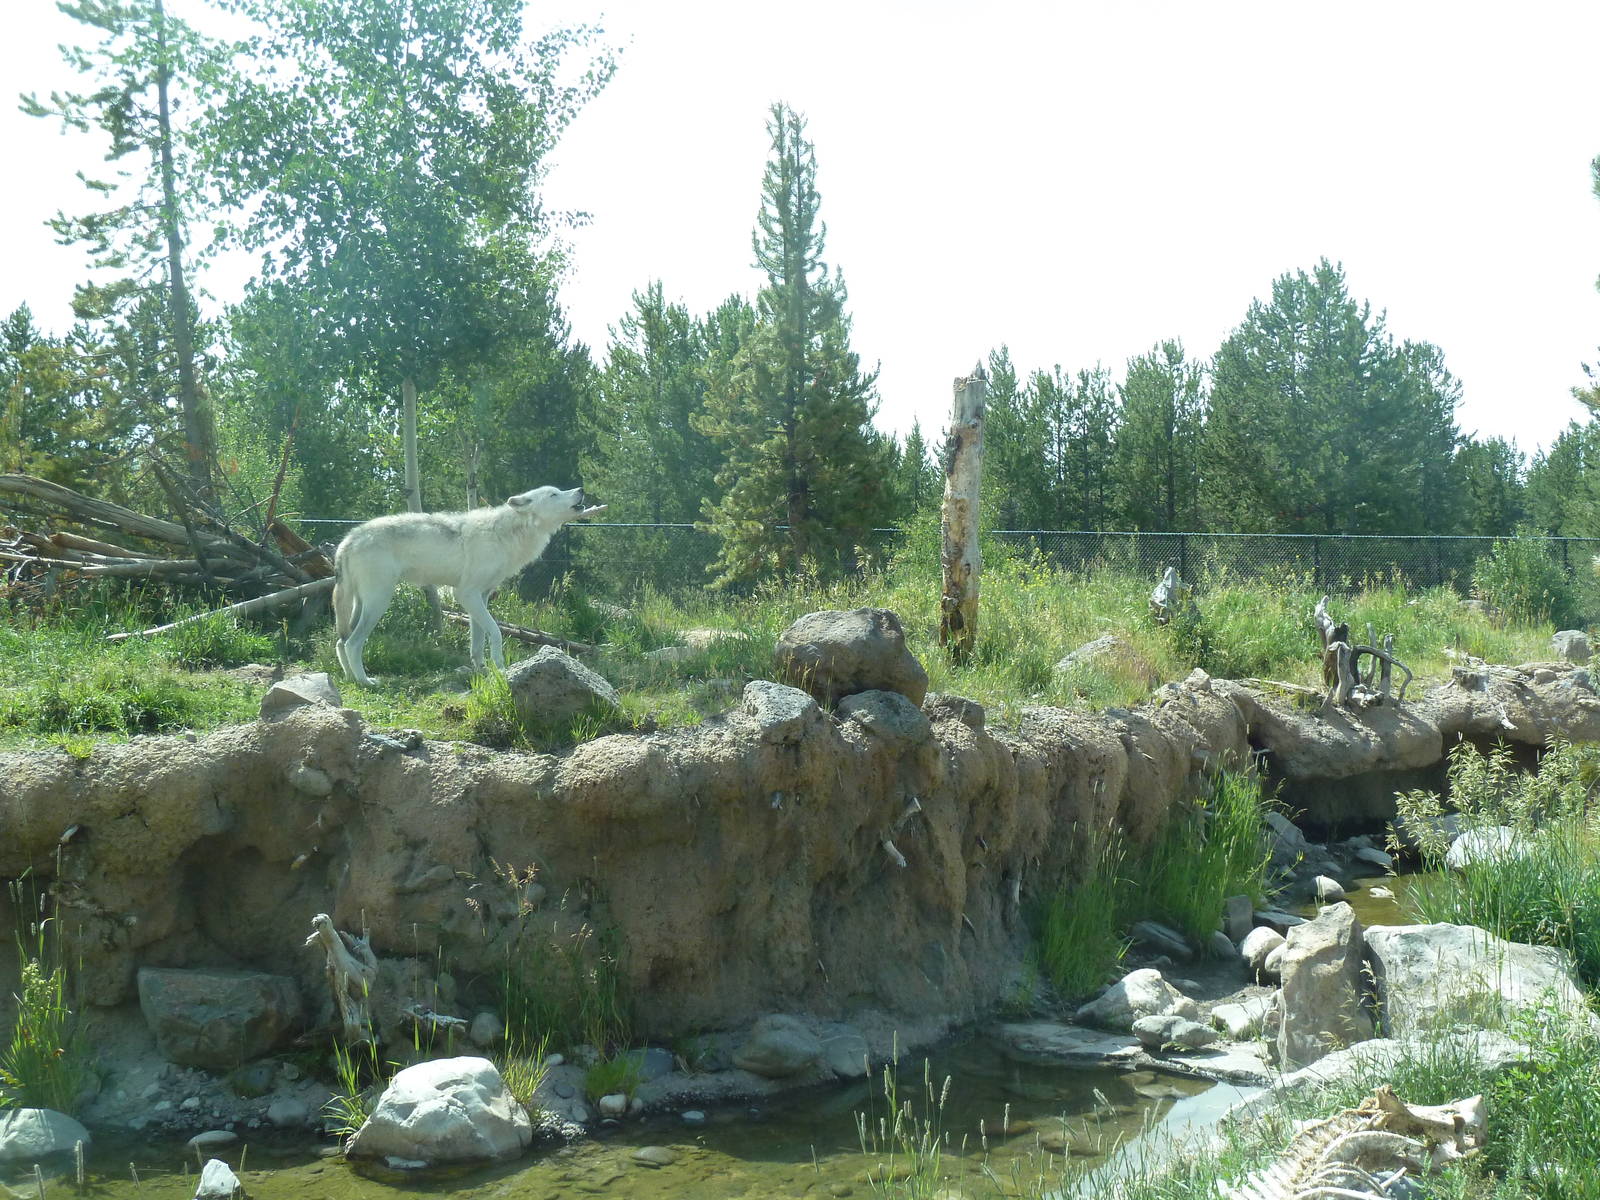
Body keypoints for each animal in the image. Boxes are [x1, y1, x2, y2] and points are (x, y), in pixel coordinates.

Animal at [333, 485, 604, 686]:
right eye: (553, 494)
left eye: (559, 490)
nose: (580, 489)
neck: (507, 534)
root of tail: (348, 539)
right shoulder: (466, 594)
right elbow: (495, 632)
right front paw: (500, 668)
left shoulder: (480, 597)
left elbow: (477, 641)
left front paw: (482, 670)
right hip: (379, 602)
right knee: (353, 643)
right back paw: (365, 681)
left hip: (360, 604)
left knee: (340, 642)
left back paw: (350, 679)